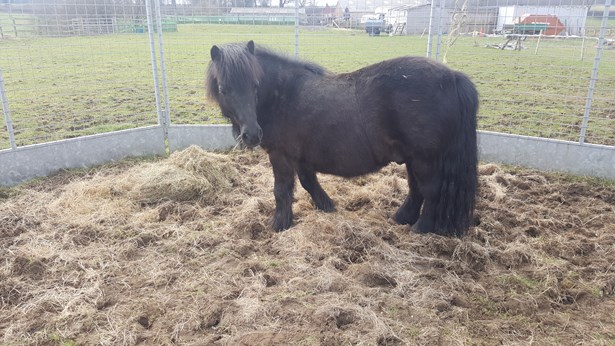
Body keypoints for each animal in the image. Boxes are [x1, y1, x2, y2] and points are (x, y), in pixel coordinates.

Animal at [205, 39, 478, 235]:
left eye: (255, 85)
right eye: (223, 89)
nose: (252, 134)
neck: (282, 94)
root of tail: (452, 76)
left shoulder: (281, 155)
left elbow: (281, 190)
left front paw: (279, 224)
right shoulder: (301, 157)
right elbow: (309, 183)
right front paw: (327, 207)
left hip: (424, 159)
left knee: (431, 190)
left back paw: (421, 228)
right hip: (412, 158)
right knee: (416, 190)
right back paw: (402, 218)